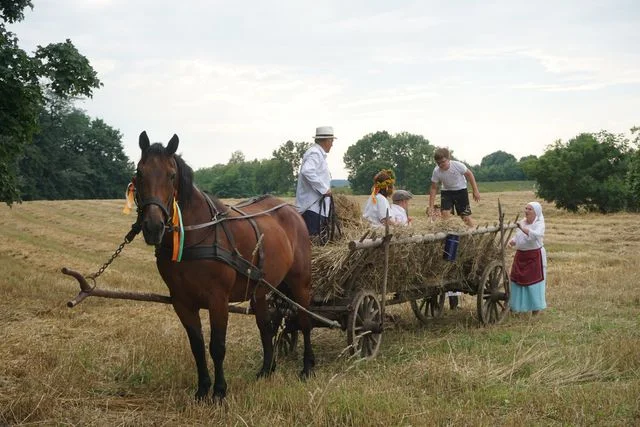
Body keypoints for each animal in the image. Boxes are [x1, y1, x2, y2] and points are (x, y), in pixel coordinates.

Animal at [135, 132, 316, 402]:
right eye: (139, 172)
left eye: (171, 175)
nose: (153, 226)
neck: (197, 234)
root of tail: (291, 210)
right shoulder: (181, 302)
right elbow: (197, 347)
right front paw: (202, 389)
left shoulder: (218, 299)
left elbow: (217, 347)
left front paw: (219, 391)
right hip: (261, 290)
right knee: (266, 326)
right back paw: (266, 369)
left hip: (300, 283)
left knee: (305, 321)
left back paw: (307, 367)